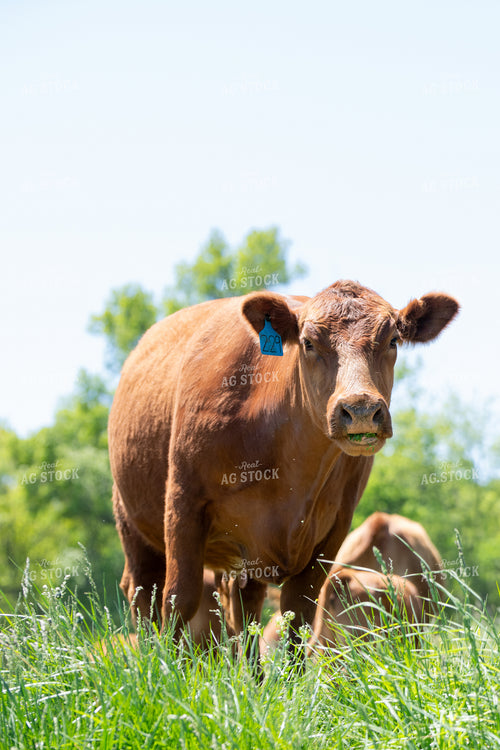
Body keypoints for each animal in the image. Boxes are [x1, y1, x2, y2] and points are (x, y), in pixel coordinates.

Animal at [108, 280, 458, 645]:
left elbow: (298, 616)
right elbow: (179, 601)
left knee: (243, 609)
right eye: (308, 343)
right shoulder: (184, 505)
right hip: (133, 523)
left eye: (392, 340)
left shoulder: (332, 529)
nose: (360, 408)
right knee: (144, 592)